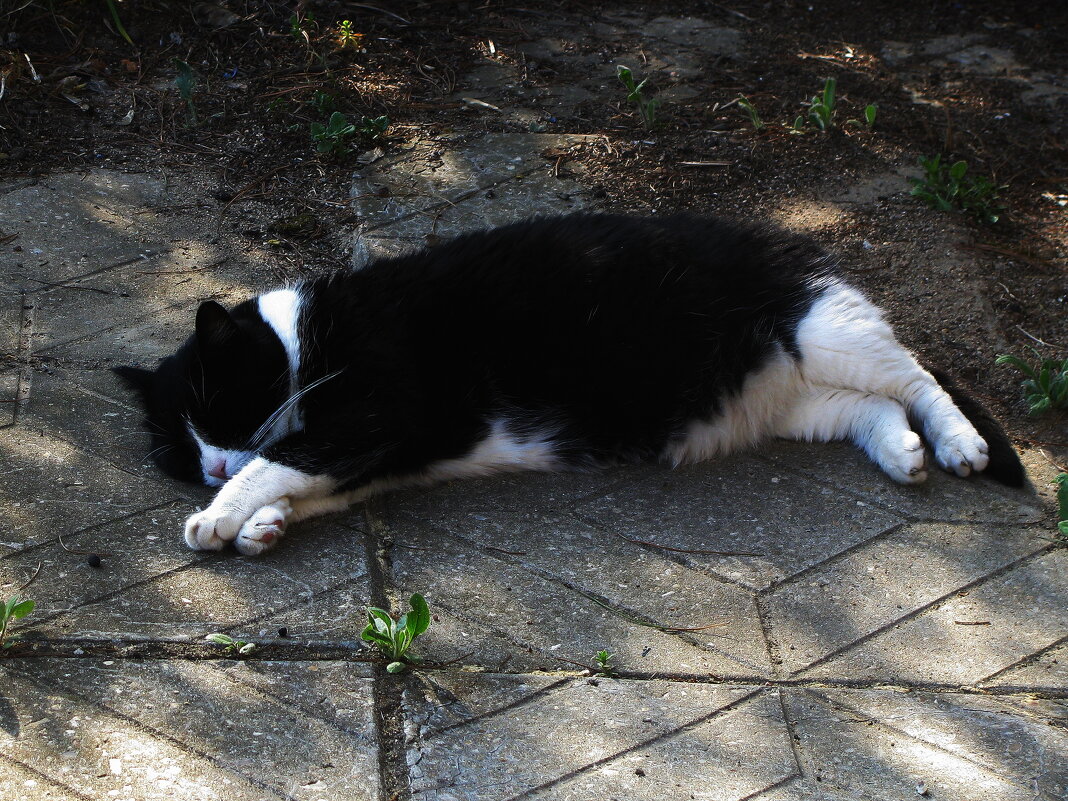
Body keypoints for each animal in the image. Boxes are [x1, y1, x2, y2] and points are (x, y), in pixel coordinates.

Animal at [112, 216, 1021, 555]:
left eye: (219, 410)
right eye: (173, 449)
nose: (208, 466)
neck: (308, 341)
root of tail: (799, 239)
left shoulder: (378, 410)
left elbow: (287, 457)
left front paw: (225, 513)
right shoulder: (392, 446)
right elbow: (317, 482)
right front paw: (261, 521)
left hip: (824, 329)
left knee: (918, 375)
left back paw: (958, 443)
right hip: (791, 401)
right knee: (871, 408)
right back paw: (902, 452)